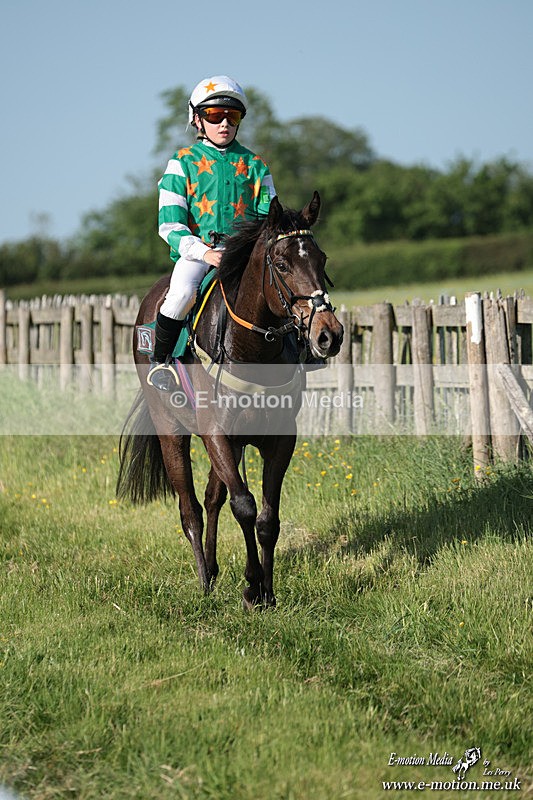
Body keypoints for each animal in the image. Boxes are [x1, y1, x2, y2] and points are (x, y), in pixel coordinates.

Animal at [117, 192, 344, 608]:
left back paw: (213, 567)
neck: (252, 350)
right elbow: (245, 506)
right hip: (171, 430)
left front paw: (267, 591)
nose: (328, 334)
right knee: (190, 507)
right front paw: (252, 586)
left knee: (211, 498)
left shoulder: (278, 440)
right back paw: (205, 580)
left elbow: (267, 519)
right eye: (282, 264)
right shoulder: (217, 434)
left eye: (321, 260)